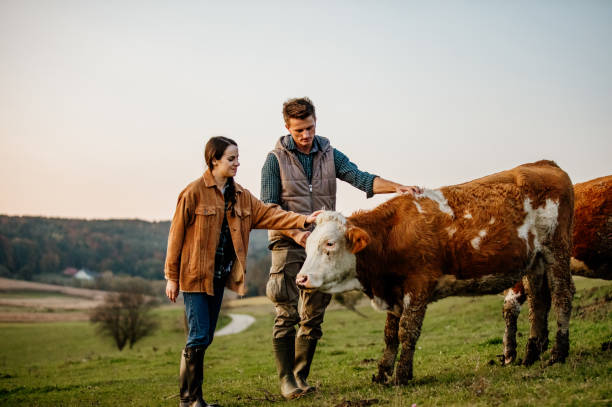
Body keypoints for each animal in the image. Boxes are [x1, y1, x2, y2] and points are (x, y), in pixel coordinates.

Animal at [296, 160, 572, 386]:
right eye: (307, 246)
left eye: (330, 244)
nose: (301, 279)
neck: (391, 233)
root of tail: (544, 164)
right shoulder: (394, 291)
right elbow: (389, 335)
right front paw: (382, 373)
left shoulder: (419, 286)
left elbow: (407, 330)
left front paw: (401, 376)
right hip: (534, 262)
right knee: (538, 303)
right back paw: (531, 355)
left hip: (557, 250)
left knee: (562, 296)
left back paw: (558, 354)